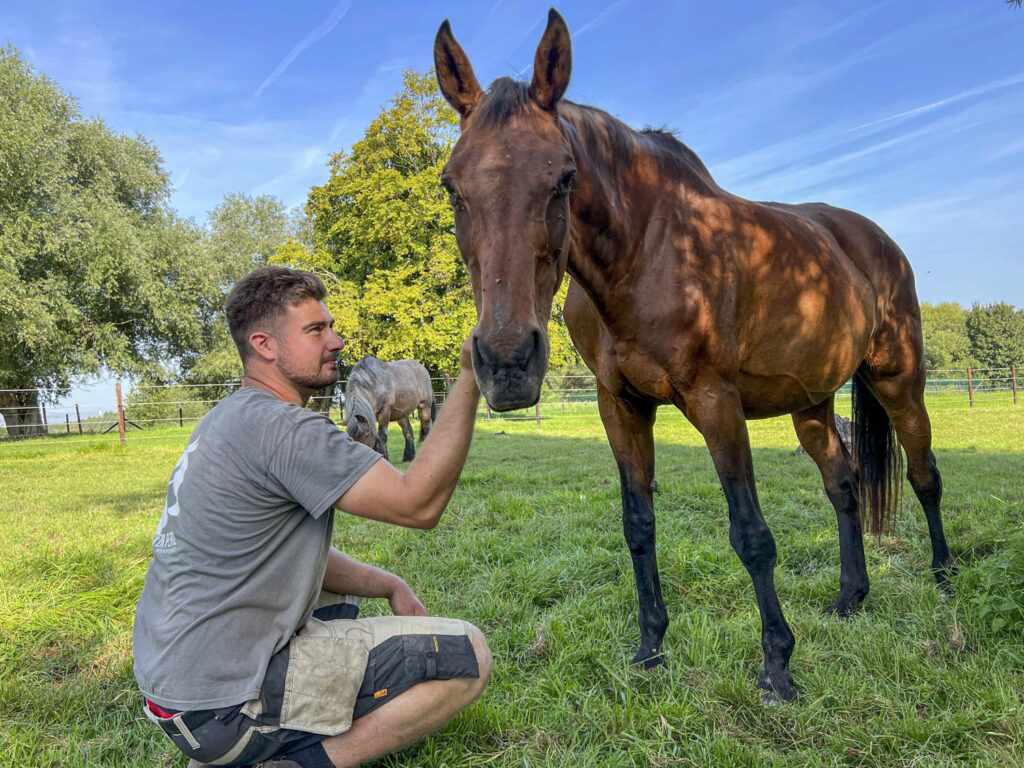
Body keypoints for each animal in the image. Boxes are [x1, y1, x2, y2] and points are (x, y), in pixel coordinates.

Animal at [433, 10, 954, 703]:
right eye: (452, 187)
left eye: (564, 177)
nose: (508, 361)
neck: (643, 254)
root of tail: (874, 240)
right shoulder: (620, 406)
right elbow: (638, 524)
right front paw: (651, 647)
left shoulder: (715, 401)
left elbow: (752, 535)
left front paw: (778, 667)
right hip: (812, 404)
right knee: (843, 486)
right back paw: (851, 597)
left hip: (900, 380)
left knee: (925, 475)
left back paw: (945, 580)